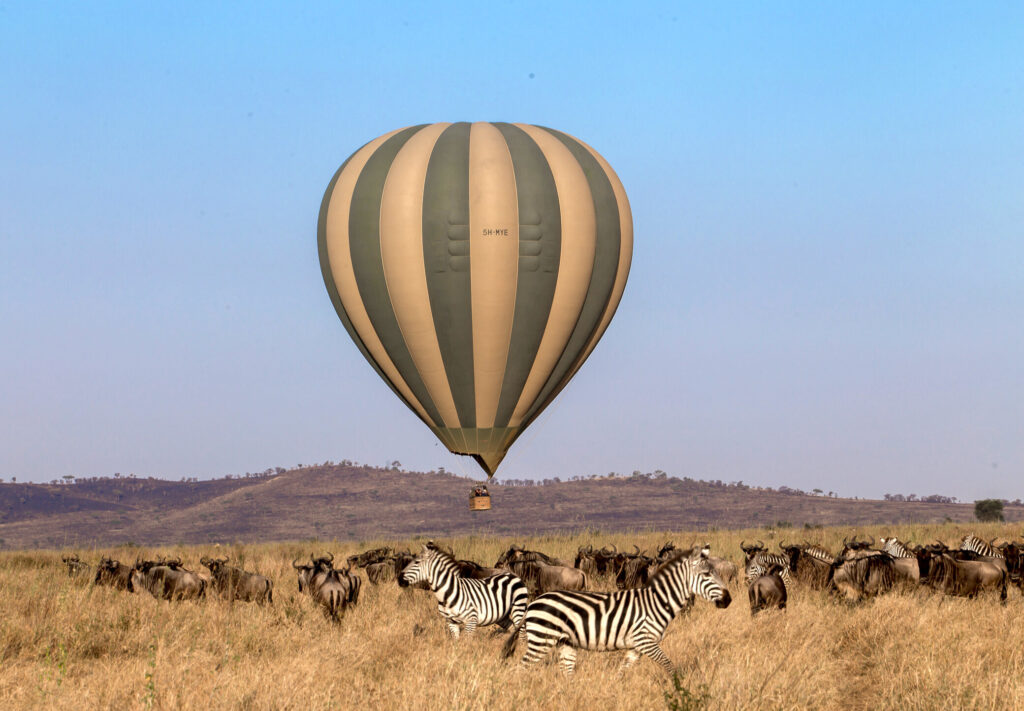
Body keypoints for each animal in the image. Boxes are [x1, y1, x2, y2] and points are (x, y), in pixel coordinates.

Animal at [502, 549, 731, 675]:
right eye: (707, 574)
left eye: (715, 572)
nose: (728, 600)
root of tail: (533, 604)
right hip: (542, 640)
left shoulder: (635, 648)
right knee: (521, 668)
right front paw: (677, 688)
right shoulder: (646, 642)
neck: (657, 602)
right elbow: (669, 665)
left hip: (564, 643)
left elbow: (622, 673)